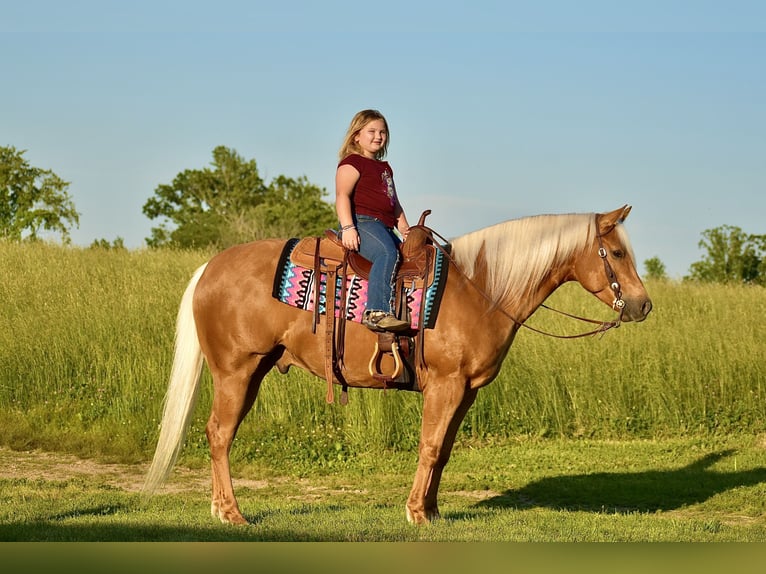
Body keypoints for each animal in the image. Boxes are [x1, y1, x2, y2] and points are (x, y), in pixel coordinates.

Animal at [142, 205, 656, 524]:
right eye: (616, 252)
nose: (642, 305)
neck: (481, 288)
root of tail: (209, 268)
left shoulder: (466, 391)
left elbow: (443, 451)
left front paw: (431, 510)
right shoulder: (447, 385)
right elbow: (429, 447)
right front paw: (415, 513)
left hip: (254, 370)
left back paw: (219, 509)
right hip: (237, 370)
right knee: (219, 434)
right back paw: (232, 513)